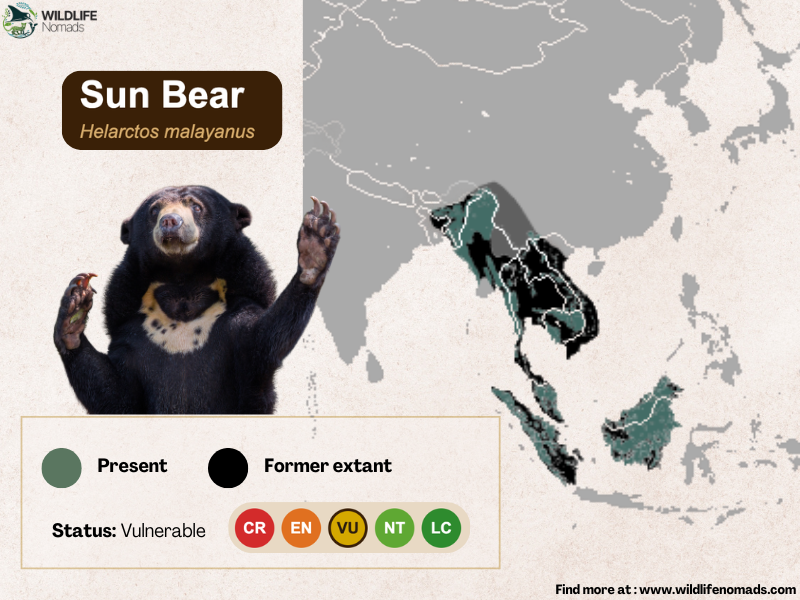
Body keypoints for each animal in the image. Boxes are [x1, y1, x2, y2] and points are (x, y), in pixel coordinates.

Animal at [53, 185, 340, 414]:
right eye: (154, 211)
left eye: (196, 206)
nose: (170, 221)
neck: (183, 284)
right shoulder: (131, 330)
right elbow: (115, 394)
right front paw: (74, 307)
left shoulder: (238, 312)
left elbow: (263, 339)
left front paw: (316, 241)